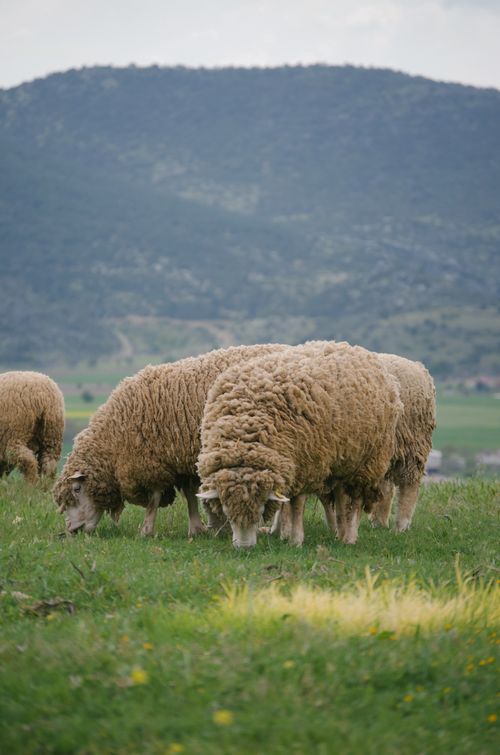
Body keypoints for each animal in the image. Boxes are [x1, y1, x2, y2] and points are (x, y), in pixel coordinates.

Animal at [53, 343, 289, 537]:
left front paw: (147, 530)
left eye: (77, 489)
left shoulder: (153, 460)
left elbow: (154, 498)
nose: (72, 530)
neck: (114, 439)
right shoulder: (181, 460)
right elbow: (191, 495)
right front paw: (198, 528)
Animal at [197, 343, 403, 548]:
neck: (246, 433)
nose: (244, 548)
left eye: (261, 510)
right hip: (342, 459)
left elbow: (296, 504)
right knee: (341, 497)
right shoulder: (290, 465)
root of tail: (360, 350)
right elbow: (287, 502)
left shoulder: (306, 463)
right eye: (226, 511)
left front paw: (295, 540)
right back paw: (340, 534)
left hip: (369, 460)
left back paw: (350, 537)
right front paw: (286, 535)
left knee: (357, 499)